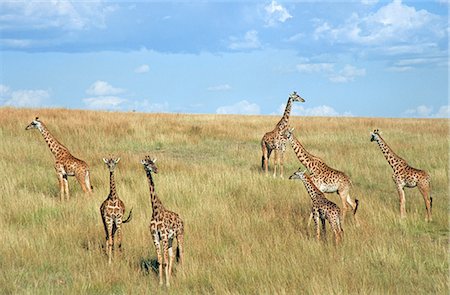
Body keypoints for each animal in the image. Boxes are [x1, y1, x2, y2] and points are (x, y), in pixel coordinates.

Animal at [140, 157, 184, 290]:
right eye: (147, 164)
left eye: (153, 162)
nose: (156, 169)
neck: (155, 211)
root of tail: (181, 220)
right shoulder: (155, 236)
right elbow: (160, 260)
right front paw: (161, 283)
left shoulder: (163, 236)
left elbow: (164, 260)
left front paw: (167, 284)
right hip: (170, 239)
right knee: (171, 255)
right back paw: (170, 277)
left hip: (179, 235)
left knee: (181, 254)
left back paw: (184, 275)